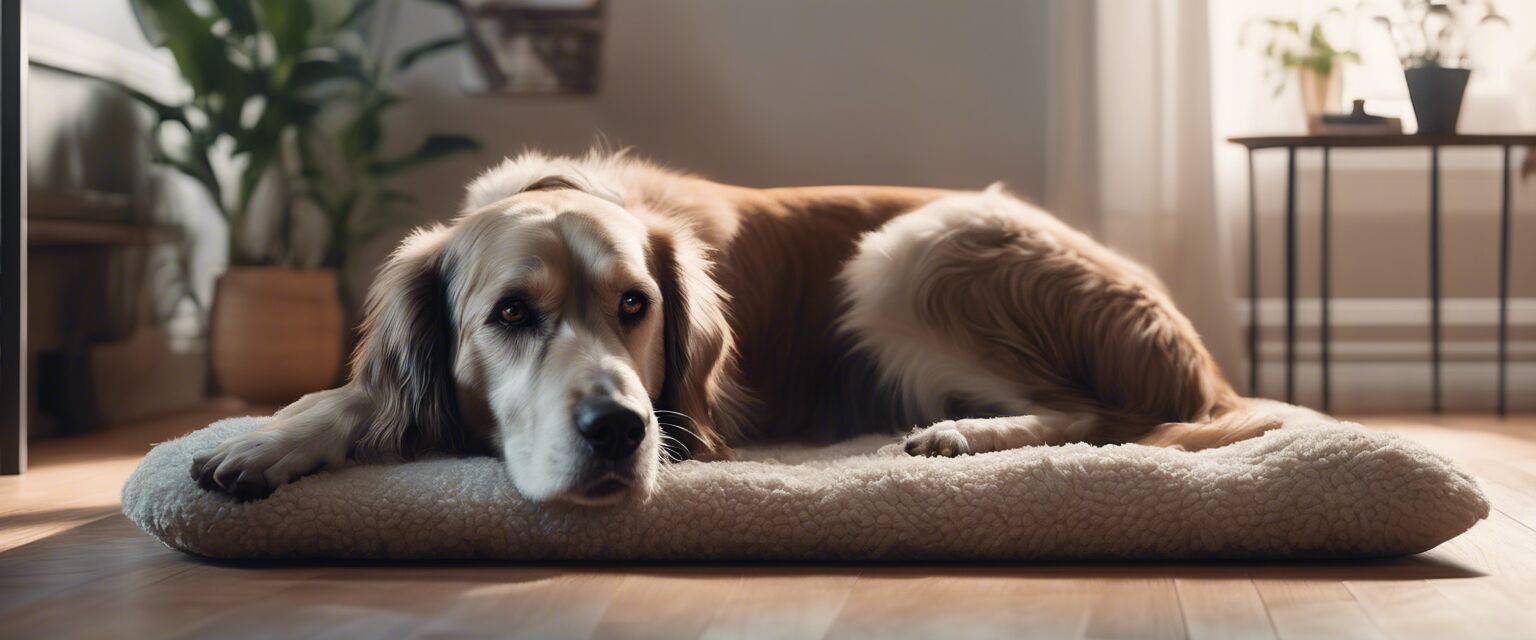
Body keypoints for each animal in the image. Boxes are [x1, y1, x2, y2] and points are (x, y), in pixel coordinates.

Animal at [195, 148, 1320, 503]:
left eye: (637, 306)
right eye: (509, 315)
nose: (618, 432)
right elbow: (359, 393)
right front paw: (272, 438)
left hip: (910, 248)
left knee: (1103, 414)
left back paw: (963, 435)